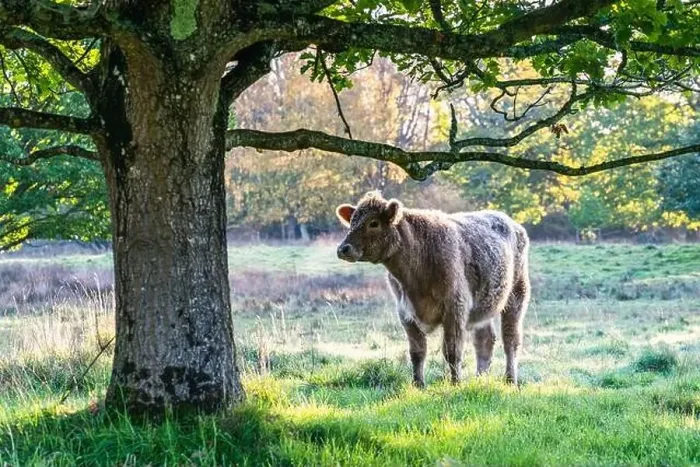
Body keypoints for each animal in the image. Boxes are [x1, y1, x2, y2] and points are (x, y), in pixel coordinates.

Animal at [335, 191, 530, 387]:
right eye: (352, 221)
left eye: (373, 223)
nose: (343, 249)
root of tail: (512, 223)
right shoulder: (406, 313)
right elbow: (417, 352)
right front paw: (418, 385)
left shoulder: (455, 308)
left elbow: (452, 351)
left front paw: (455, 384)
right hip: (483, 306)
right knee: (485, 341)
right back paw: (480, 379)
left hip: (516, 295)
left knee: (510, 340)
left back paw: (510, 380)